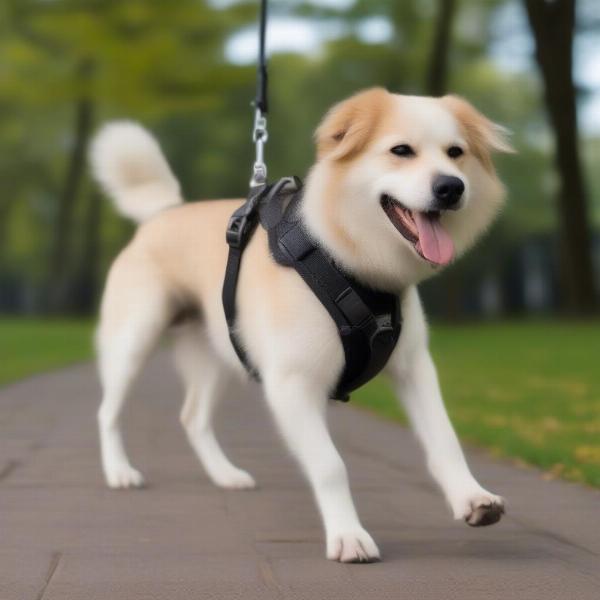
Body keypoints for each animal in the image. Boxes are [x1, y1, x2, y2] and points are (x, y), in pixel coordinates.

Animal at [91, 88, 512, 564]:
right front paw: (348, 535)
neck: (347, 258)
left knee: (193, 418)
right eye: (401, 150)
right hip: (134, 339)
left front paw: (471, 497)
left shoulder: (414, 369)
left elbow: (444, 438)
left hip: (216, 355)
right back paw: (120, 471)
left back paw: (225, 475)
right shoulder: (293, 384)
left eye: (456, 153)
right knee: (108, 411)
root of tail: (161, 213)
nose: (451, 187)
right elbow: (330, 465)